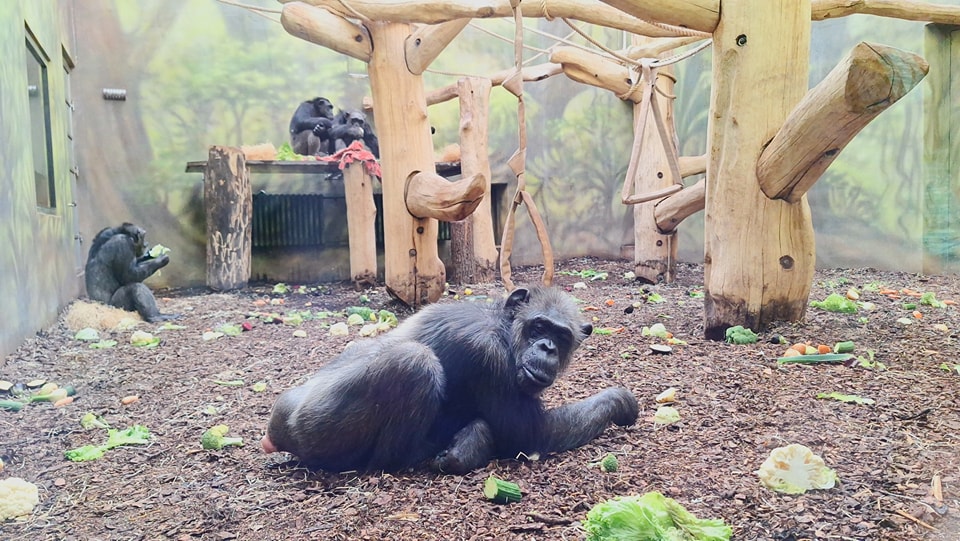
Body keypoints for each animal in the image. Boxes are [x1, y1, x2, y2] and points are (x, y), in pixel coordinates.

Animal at [262, 286, 639, 474]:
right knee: (414, 362)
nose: (547, 347)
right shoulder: (485, 352)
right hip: (319, 428)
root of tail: (277, 429)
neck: (504, 329)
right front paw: (619, 400)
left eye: (561, 336)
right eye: (539, 326)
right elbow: (529, 434)